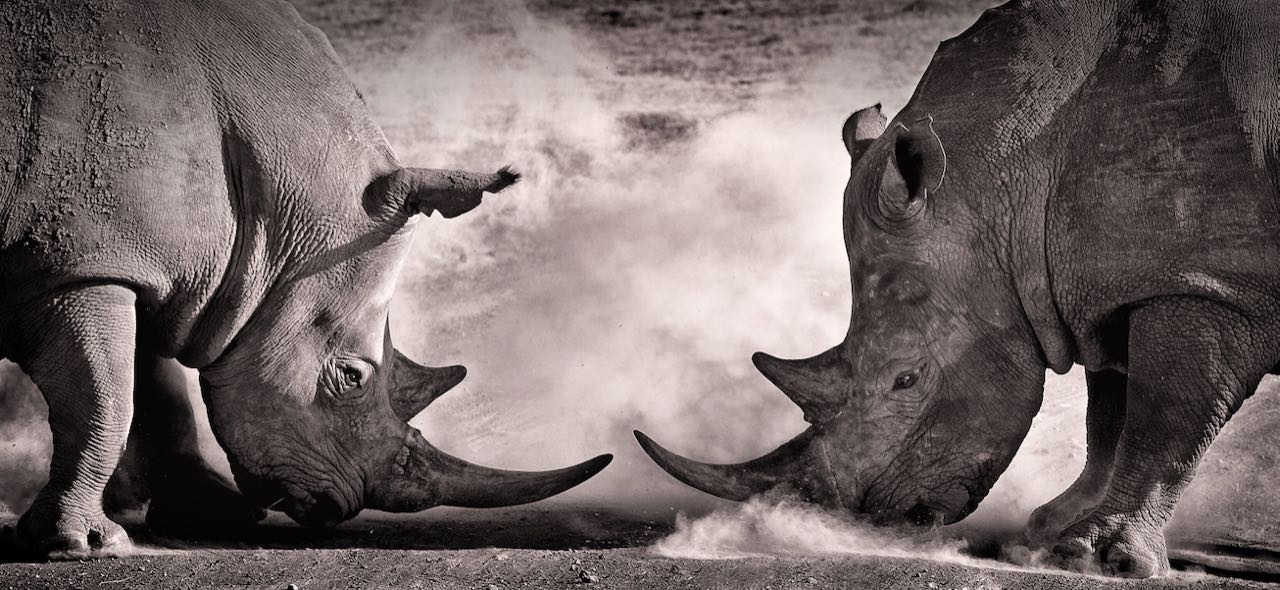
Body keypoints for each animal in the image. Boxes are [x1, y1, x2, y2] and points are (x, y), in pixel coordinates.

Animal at [0, 0, 611, 558]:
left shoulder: (135, 266)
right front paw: (87, 544)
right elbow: (106, 398)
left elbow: (151, 393)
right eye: (351, 377)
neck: (271, 210)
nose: (339, 507)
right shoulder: (81, 266)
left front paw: (220, 515)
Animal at [636, 0, 1280, 578]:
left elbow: (1161, 424)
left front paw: (1098, 557)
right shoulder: (1115, 280)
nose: (869, 520)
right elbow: (1110, 413)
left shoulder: (1205, 282)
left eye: (906, 379)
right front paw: (1051, 529)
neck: (1012, 170)